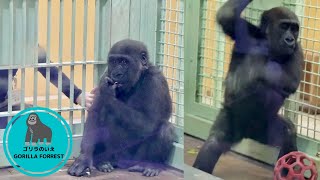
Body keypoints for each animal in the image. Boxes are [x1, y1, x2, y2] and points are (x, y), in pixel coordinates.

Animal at [68, 39, 176, 177]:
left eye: (124, 62)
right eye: (114, 62)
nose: (116, 74)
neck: (139, 77)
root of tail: (122, 164)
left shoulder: (156, 81)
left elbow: (150, 123)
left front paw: (108, 93)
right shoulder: (105, 76)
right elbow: (95, 114)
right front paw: (83, 159)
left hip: (135, 158)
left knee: (165, 129)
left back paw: (150, 165)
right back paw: (102, 162)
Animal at [192, 0, 302, 174]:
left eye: (295, 28)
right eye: (284, 26)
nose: (290, 39)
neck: (268, 41)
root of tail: (248, 134)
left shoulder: (297, 50)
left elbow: (290, 80)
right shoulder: (247, 31)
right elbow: (226, 15)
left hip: (265, 126)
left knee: (288, 135)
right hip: (232, 118)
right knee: (214, 142)